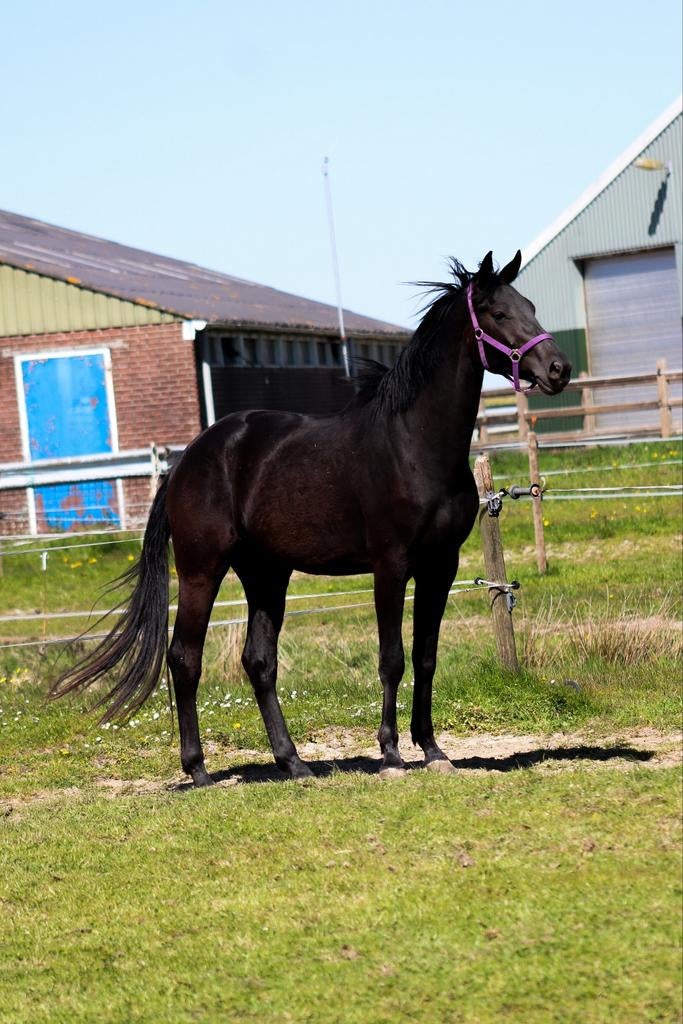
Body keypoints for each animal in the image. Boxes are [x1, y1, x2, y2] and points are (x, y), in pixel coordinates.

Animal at [50, 250, 571, 785]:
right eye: (499, 313)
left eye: (530, 306)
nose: (560, 369)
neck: (414, 446)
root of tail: (186, 461)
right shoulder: (390, 566)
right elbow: (392, 659)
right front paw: (390, 754)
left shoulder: (439, 567)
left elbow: (425, 657)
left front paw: (431, 749)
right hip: (201, 571)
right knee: (184, 658)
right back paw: (199, 770)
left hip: (266, 575)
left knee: (258, 662)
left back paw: (294, 762)